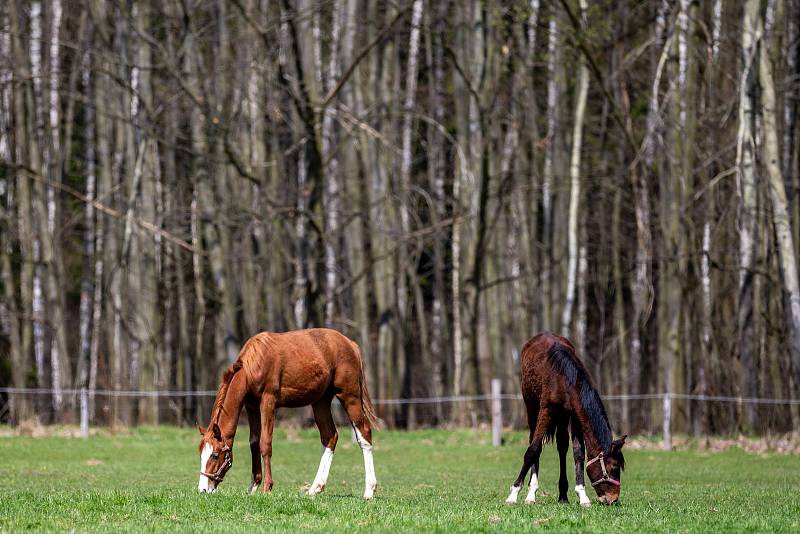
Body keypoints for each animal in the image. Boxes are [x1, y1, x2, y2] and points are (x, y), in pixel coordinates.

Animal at [196, 328, 378, 500]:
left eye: (215, 455)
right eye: (201, 453)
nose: (203, 489)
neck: (253, 366)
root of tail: (350, 344)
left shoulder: (268, 402)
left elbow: (265, 444)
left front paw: (267, 488)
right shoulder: (251, 406)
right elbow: (254, 443)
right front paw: (253, 486)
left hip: (350, 397)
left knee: (364, 434)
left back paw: (369, 490)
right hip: (320, 402)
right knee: (330, 437)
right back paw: (315, 488)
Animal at [506, 332, 624, 508]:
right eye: (614, 467)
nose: (613, 499)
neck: (565, 378)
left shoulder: (575, 415)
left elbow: (578, 453)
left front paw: (582, 496)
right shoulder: (546, 410)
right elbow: (533, 450)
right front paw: (514, 494)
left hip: (562, 417)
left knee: (562, 447)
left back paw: (562, 495)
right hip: (532, 408)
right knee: (534, 442)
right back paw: (531, 494)